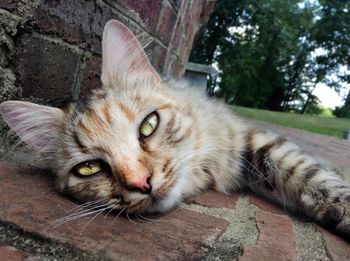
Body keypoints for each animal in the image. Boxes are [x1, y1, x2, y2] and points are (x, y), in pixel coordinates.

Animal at [0, 20, 348, 240]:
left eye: (149, 124)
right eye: (89, 168)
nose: (141, 184)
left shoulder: (243, 136)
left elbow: (306, 170)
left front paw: (342, 205)